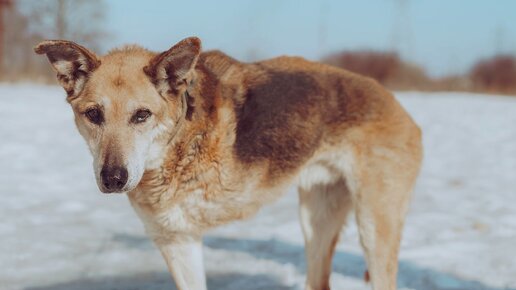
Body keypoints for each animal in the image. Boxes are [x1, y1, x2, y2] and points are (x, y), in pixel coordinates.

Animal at [36, 36, 424, 290]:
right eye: (94, 115)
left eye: (141, 115)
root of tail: (397, 103)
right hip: (316, 221)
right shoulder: (177, 240)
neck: (177, 142)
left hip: (374, 228)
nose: (114, 178)